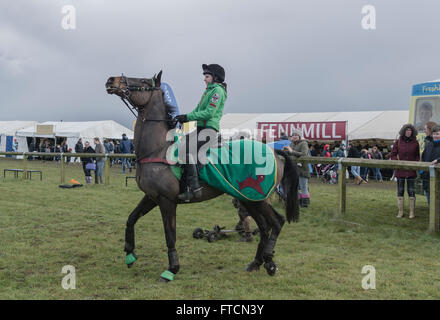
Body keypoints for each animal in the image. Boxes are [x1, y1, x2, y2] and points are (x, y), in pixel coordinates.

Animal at [105, 71, 300, 282]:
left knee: (276, 222)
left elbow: (170, 235)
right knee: (264, 227)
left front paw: (171, 269)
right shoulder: (151, 197)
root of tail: (274, 151)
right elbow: (131, 218)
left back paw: (269, 261)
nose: (111, 81)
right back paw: (256, 262)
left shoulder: (166, 201)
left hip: (258, 199)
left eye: (142, 81)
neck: (158, 150)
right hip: (248, 199)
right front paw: (129, 254)